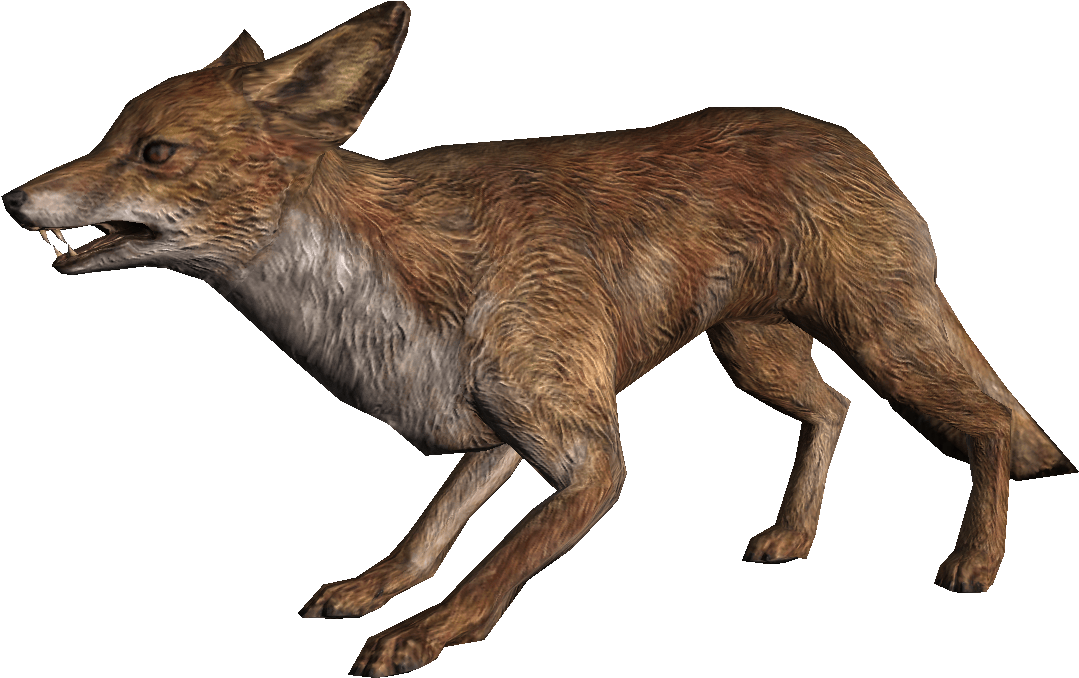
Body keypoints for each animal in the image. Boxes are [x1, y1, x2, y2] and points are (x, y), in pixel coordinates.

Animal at [5, 1, 1075, 675]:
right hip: (755, 357)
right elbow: (426, 538)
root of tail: (849, 140)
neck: (383, 297)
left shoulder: (587, 455)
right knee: (831, 409)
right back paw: (791, 535)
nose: (13, 198)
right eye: (104, 135)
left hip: (884, 339)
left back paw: (974, 562)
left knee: (983, 424)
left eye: (155, 152)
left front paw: (427, 636)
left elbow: (496, 564)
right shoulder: (490, 437)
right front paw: (373, 590)